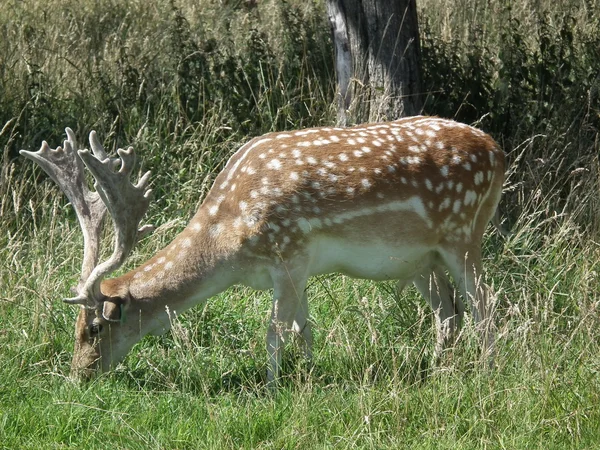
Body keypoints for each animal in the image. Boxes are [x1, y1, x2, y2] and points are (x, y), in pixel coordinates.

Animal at [21, 116, 504, 384]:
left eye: (94, 328)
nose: (78, 376)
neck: (230, 245)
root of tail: (498, 150)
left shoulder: (289, 253)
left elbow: (274, 332)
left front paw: (271, 391)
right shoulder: (300, 268)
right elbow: (304, 329)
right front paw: (310, 377)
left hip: (464, 233)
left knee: (485, 303)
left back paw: (486, 372)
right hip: (421, 260)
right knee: (448, 313)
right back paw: (439, 370)